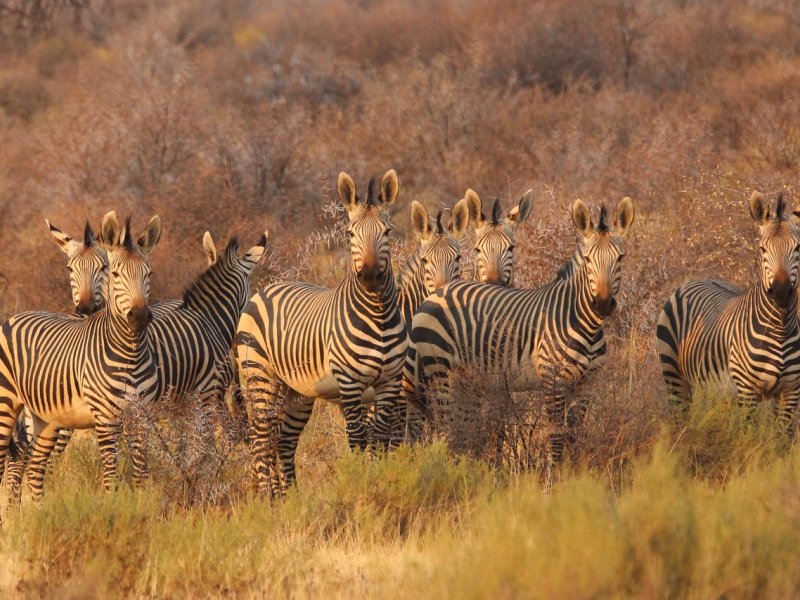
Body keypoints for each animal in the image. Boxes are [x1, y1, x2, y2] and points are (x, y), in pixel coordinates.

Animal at [0, 212, 162, 499]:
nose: (140, 316)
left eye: (149, 273)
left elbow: (141, 474)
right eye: (116, 273)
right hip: (6, 403)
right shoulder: (106, 418)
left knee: (34, 469)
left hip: (46, 418)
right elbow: (111, 474)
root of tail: (15, 316)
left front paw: (142, 506)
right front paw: (114, 506)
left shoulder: (142, 415)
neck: (130, 352)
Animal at [234, 169, 407, 496]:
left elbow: (379, 439)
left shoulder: (390, 382)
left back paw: (289, 498)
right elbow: (357, 439)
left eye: (388, 232)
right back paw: (265, 499)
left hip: (296, 391)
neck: (377, 315)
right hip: (259, 376)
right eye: (350, 234)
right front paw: (360, 486)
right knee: (261, 440)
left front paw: (378, 480)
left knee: (283, 441)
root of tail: (266, 289)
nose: (369, 276)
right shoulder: (350, 384)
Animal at [403, 197, 635, 483]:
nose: (602, 304)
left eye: (620, 258)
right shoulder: (553, 380)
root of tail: (437, 292)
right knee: (446, 422)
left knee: (462, 423)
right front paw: (554, 481)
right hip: (439, 370)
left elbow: (575, 435)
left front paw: (574, 477)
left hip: (467, 378)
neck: (584, 323)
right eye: (590, 259)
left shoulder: (585, 385)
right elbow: (557, 436)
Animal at [656, 192, 800, 431]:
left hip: (718, 389)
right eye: (762, 249)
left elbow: (780, 439)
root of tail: (700, 279)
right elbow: (747, 436)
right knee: (680, 419)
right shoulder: (747, 392)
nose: (781, 292)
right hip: (674, 376)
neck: (780, 328)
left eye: (797, 248)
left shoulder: (790, 392)